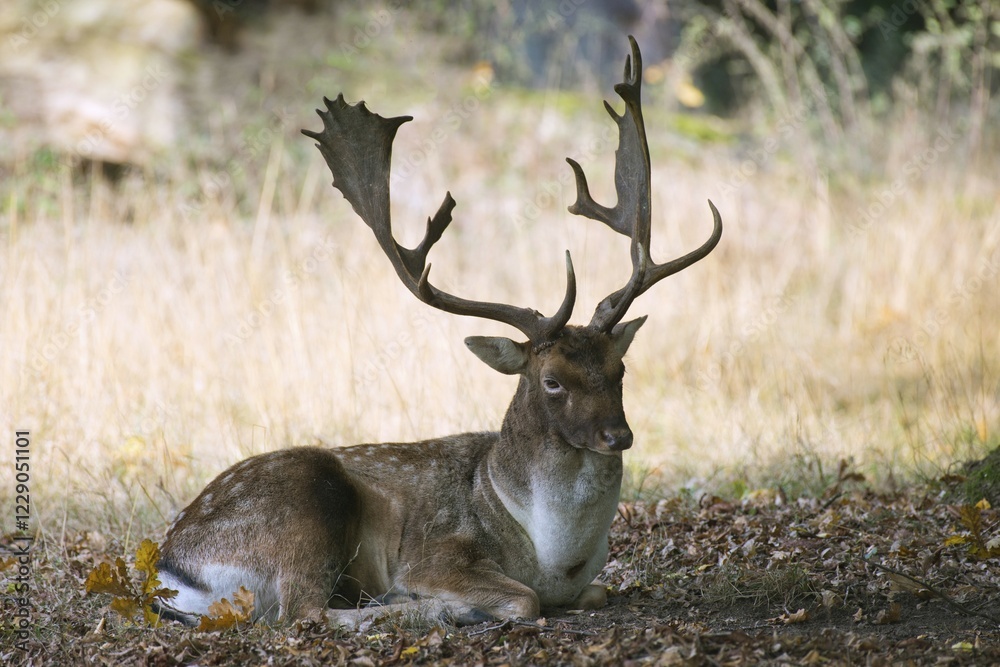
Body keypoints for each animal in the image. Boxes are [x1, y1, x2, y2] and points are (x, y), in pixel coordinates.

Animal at [154, 36, 722, 628]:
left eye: (620, 368)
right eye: (552, 380)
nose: (619, 435)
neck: (553, 556)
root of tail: (171, 573)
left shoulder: (584, 583)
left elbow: (598, 591)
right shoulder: (439, 552)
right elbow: (524, 598)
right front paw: (448, 601)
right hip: (303, 504)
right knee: (306, 610)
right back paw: (416, 607)